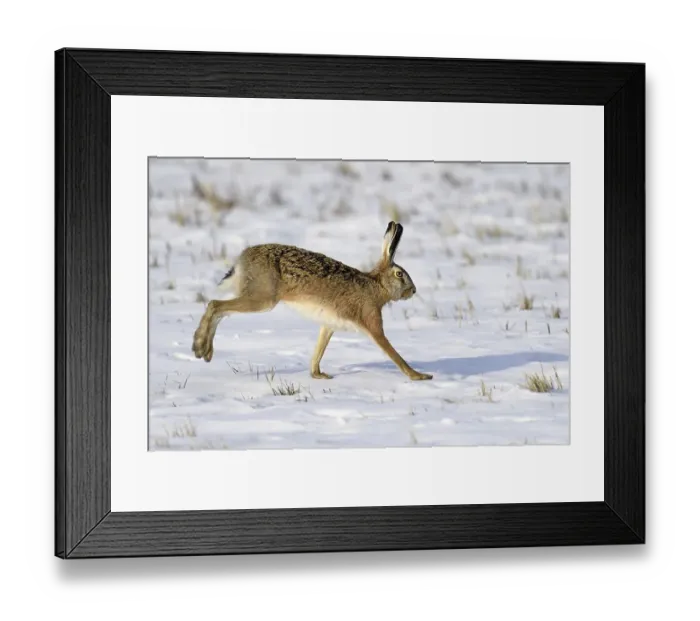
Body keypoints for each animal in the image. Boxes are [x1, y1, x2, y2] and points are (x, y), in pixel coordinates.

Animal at [192, 221, 433, 381]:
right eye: (400, 274)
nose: (413, 290)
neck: (376, 285)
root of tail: (242, 259)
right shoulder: (372, 322)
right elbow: (393, 352)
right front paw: (419, 376)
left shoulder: (328, 325)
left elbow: (319, 350)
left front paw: (318, 375)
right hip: (263, 299)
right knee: (215, 305)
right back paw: (200, 348)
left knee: (218, 308)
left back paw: (203, 350)